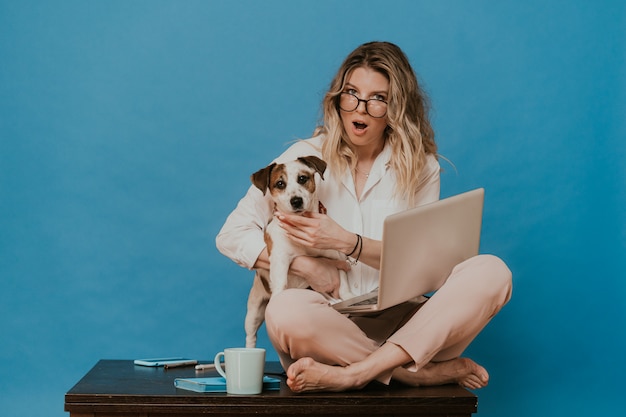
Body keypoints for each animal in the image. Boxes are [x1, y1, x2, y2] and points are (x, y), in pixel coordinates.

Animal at [243, 154, 352, 346]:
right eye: (280, 183)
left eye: (302, 178)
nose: (296, 201)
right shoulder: (280, 260)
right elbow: (281, 284)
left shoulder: (337, 258)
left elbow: (344, 285)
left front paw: (348, 297)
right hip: (254, 313)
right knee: (251, 336)